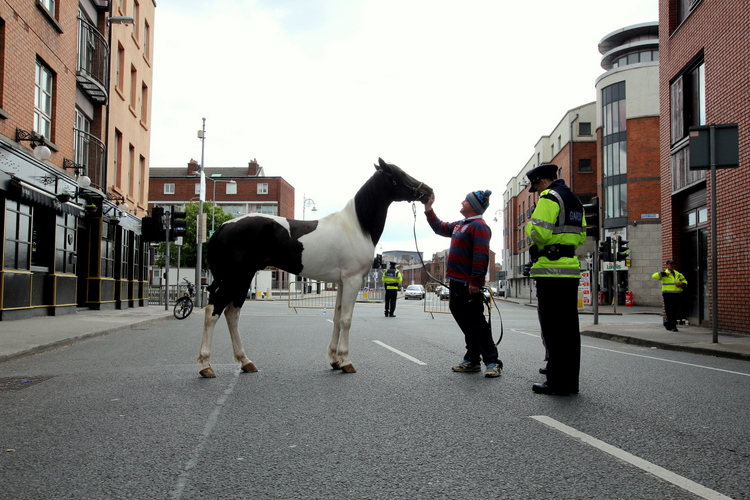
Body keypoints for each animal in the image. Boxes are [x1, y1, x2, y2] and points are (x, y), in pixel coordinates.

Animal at [198, 158, 434, 376]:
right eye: (400, 174)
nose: (428, 191)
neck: (356, 227)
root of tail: (224, 226)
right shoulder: (352, 280)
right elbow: (346, 320)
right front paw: (346, 361)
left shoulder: (342, 282)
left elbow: (337, 318)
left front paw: (334, 360)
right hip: (235, 277)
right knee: (213, 311)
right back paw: (206, 366)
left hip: (243, 278)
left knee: (231, 314)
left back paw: (245, 361)